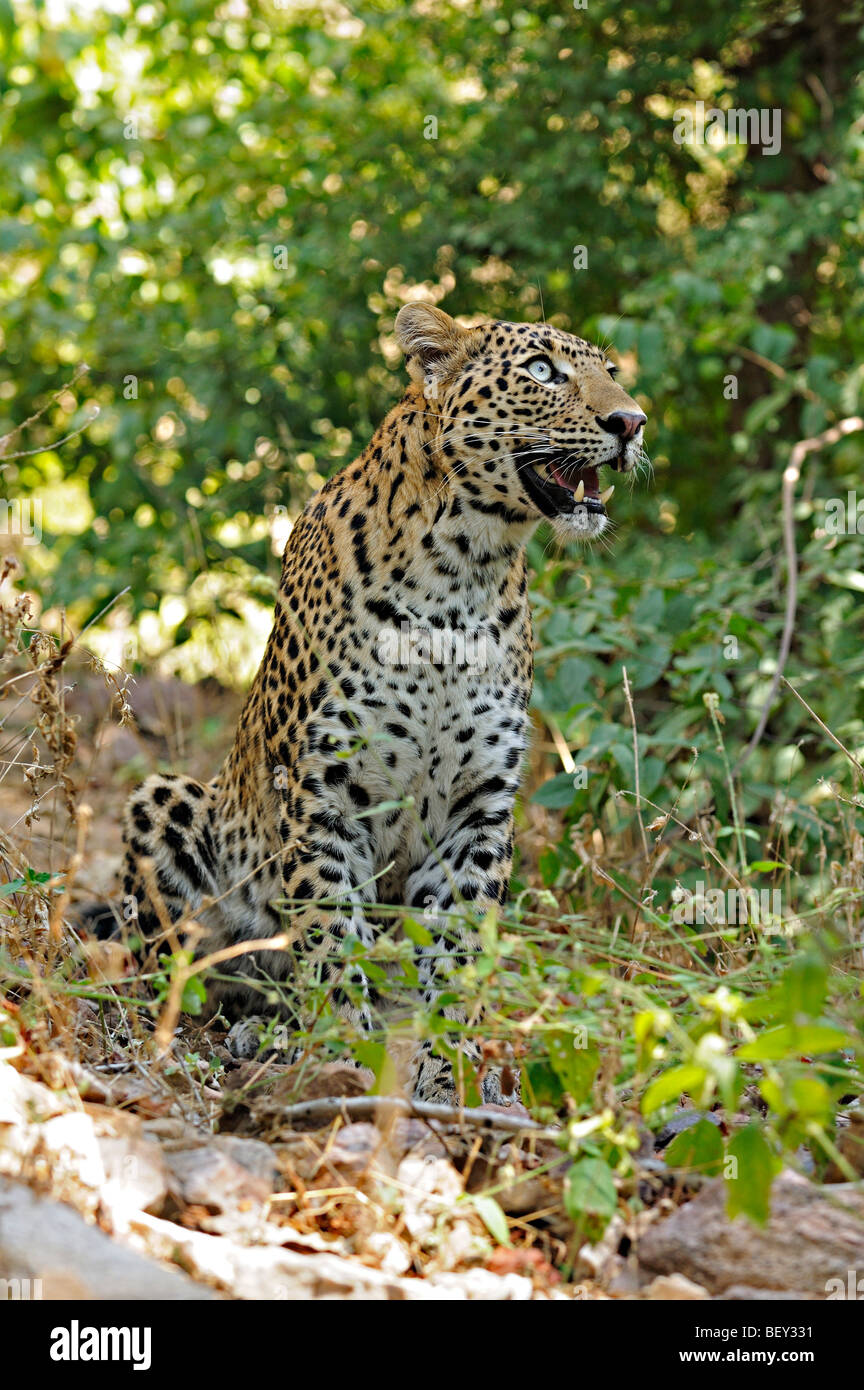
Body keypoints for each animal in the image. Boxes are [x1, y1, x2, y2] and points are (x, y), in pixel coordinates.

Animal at [120, 307, 650, 1106]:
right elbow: (331, 931)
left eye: (609, 372)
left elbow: (457, 947)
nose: (632, 421)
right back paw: (248, 1033)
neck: (465, 572)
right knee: (198, 973)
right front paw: (350, 1049)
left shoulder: (479, 807)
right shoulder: (322, 792)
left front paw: (448, 1064)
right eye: (542, 372)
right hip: (166, 799)